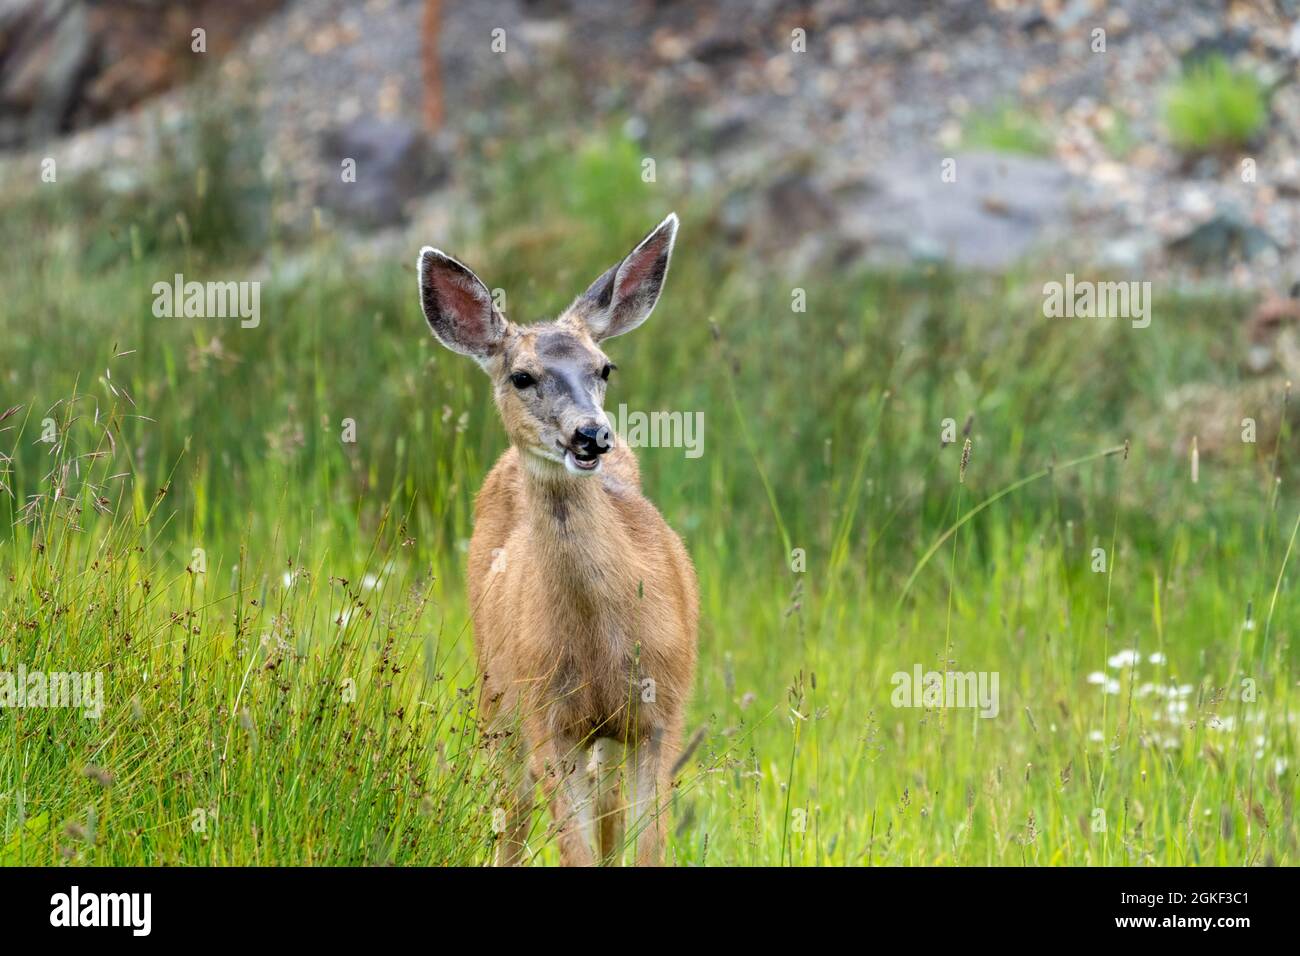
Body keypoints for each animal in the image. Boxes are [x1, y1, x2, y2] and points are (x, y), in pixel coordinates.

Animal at [416, 214, 698, 866]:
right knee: (511, 816)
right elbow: (574, 847)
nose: (591, 435)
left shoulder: (662, 711)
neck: (602, 642)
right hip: (496, 695)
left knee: (606, 810)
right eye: (521, 376)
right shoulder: (547, 716)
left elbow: (643, 845)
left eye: (605, 367)